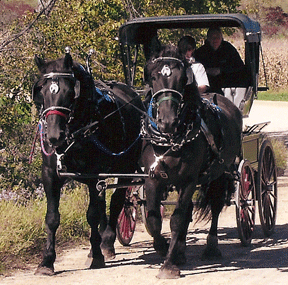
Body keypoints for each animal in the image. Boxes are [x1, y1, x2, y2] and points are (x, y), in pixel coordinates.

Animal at [32, 50, 144, 272]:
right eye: (43, 92)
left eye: (69, 92)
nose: (54, 136)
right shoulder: (50, 175)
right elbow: (52, 218)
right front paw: (47, 260)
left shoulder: (94, 175)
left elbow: (92, 214)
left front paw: (97, 256)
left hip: (125, 167)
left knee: (117, 201)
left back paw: (106, 243)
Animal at [141, 44, 242, 278]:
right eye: (153, 76)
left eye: (181, 79)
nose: (167, 121)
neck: (169, 139)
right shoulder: (152, 179)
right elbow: (154, 220)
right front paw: (163, 248)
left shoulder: (188, 180)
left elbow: (176, 220)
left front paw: (168, 266)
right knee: (186, 211)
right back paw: (179, 251)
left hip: (219, 173)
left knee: (215, 205)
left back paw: (211, 247)